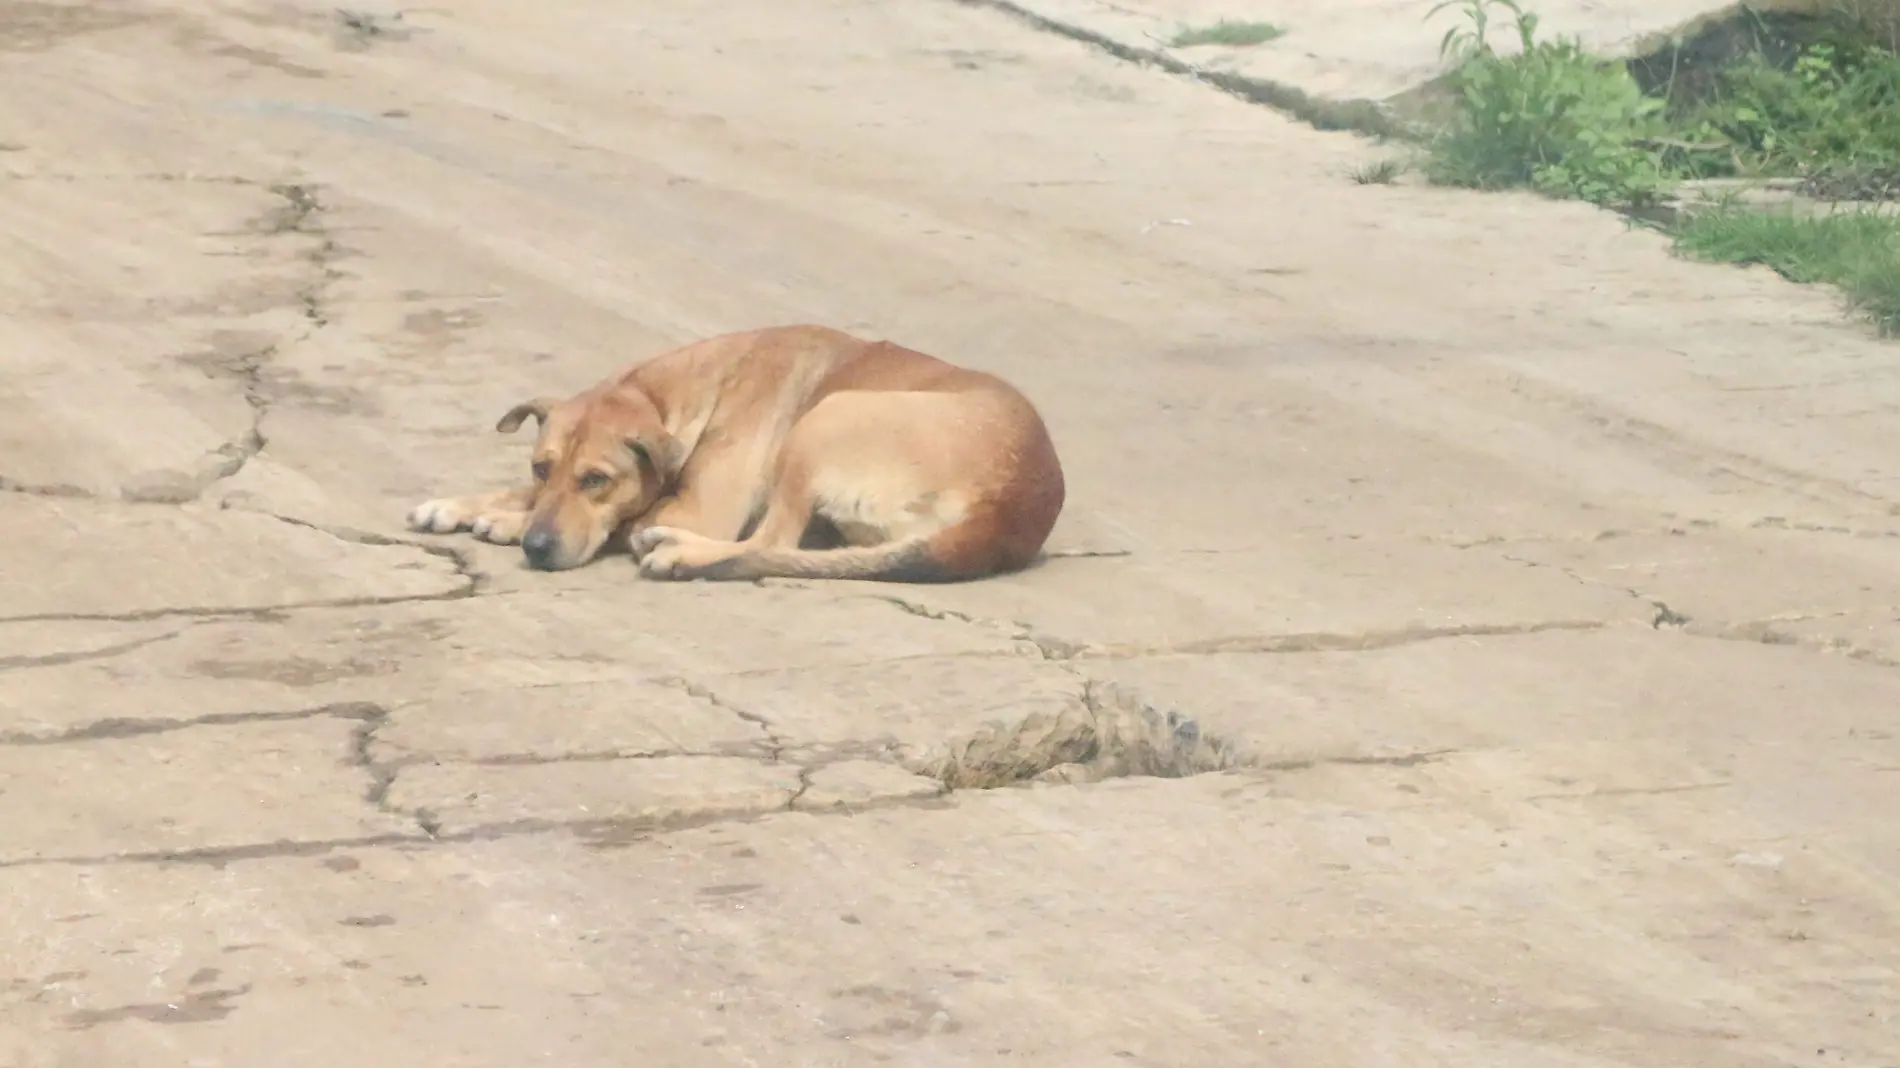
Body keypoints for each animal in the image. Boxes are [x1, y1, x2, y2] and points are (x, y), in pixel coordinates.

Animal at [406, 323, 1064, 581]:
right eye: (542, 466)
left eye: (598, 480)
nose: (539, 548)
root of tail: (1010, 506)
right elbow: (520, 492)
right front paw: (460, 504)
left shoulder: (700, 509)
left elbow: (621, 520)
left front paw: (503, 521)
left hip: (826, 419)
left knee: (767, 543)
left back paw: (678, 552)